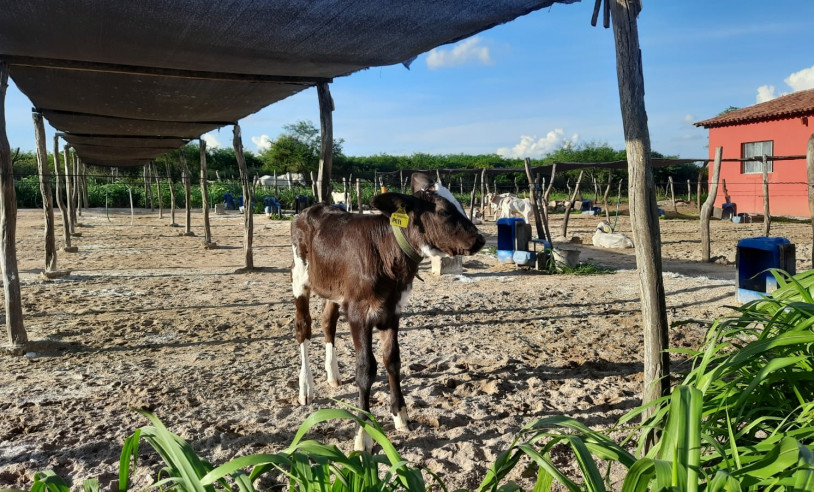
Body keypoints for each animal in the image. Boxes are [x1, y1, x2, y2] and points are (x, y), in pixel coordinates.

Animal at [292, 180, 484, 450]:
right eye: (444, 211)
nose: (480, 239)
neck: (386, 254)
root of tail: (313, 207)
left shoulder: (393, 311)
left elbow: (392, 360)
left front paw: (400, 416)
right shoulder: (358, 313)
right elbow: (366, 369)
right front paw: (363, 436)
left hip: (333, 288)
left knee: (328, 321)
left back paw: (333, 375)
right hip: (299, 277)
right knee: (303, 327)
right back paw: (305, 388)